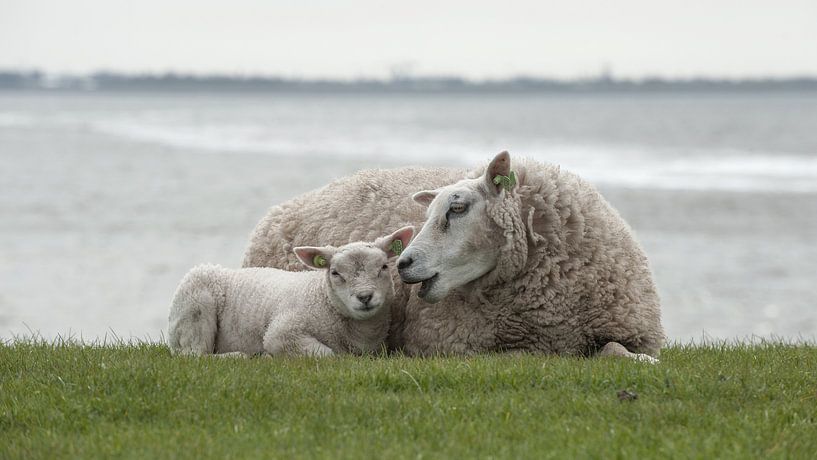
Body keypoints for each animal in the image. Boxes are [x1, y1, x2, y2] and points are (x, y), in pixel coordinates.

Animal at [171, 227, 414, 360]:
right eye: (335, 273)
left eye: (383, 267)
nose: (364, 297)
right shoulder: (282, 332)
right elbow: (329, 355)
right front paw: (268, 356)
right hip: (195, 306)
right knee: (194, 355)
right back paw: (241, 356)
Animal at [242, 153, 664, 362]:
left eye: (457, 208)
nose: (402, 264)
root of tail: (280, 209)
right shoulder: (453, 347)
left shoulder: (634, 335)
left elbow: (616, 351)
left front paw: (643, 364)